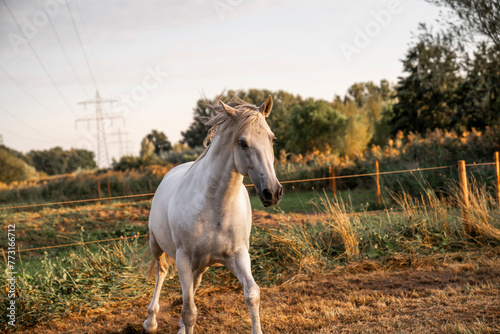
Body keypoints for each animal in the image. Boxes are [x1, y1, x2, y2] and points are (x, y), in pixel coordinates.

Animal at [142, 94, 282, 334]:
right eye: (242, 143)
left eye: (272, 139)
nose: (272, 192)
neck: (215, 206)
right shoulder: (183, 258)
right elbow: (189, 312)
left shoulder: (238, 255)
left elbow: (252, 293)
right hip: (157, 246)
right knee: (162, 273)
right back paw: (150, 321)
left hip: (201, 264)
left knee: (193, 285)